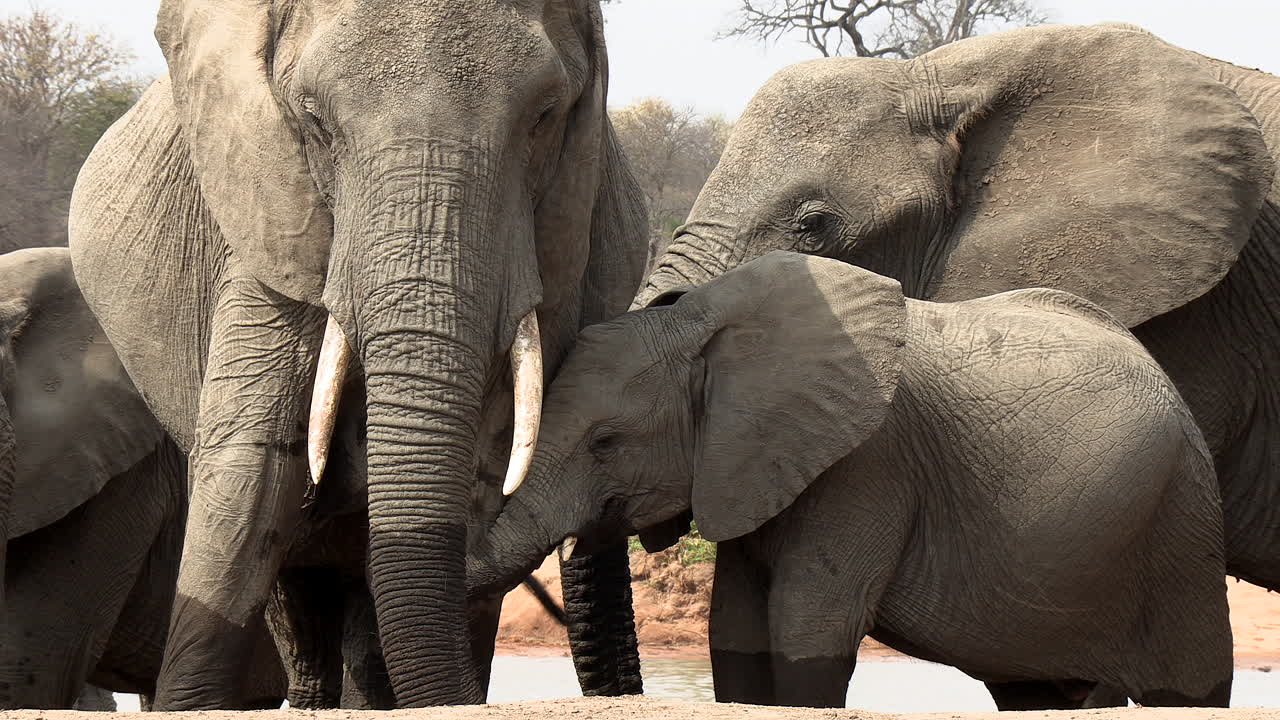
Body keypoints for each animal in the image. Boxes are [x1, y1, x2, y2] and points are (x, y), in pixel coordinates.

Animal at [470, 251, 1233, 710]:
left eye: (605, 443)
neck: (701, 324)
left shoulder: (868, 467)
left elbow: (807, 625)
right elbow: (736, 632)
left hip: (1180, 522)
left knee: (1190, 686)